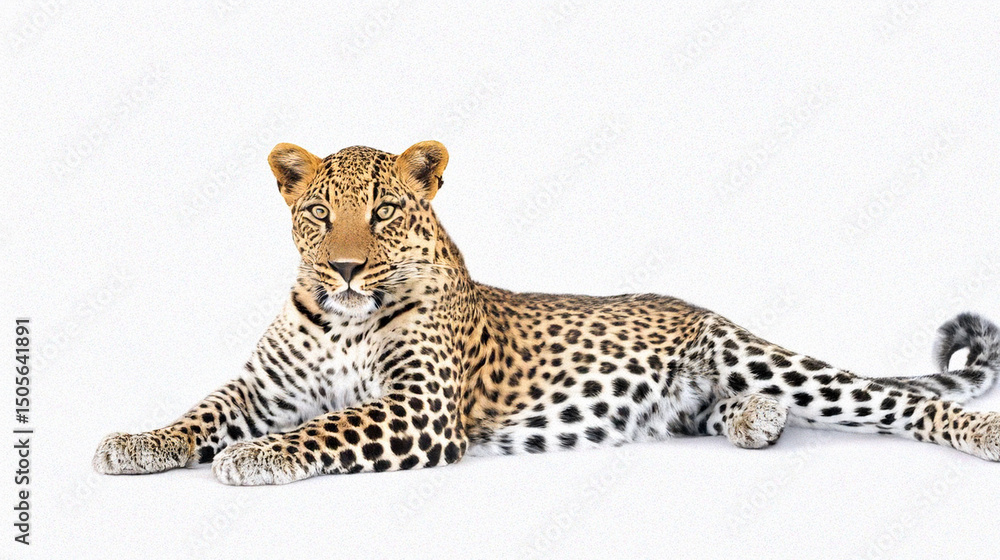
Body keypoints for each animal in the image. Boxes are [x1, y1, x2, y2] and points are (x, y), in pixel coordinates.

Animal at [94, 140, 1000, 485]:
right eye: (318, 212)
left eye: (384, 212)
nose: (344, 268)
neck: (345, 317)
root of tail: (699, 305)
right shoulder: (260, 389)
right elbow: (200, 411)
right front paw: (135, 443)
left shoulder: (419, 410)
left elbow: (324, 426)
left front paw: (256, 457)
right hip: (694, 403)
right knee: (732, 412)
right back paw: (756, 422)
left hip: (757, 354)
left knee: (898, 400)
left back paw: (979, 433)